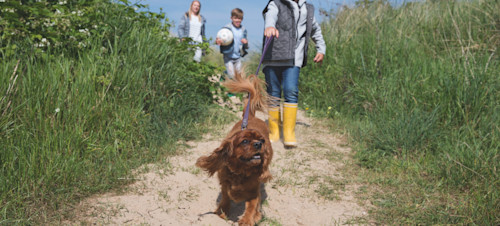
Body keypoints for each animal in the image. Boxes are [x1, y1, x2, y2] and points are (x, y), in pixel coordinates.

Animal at [195, 72, 274, 226]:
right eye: (244, 141)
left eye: (262, 141)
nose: (259, 144)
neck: (241, 172)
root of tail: (251, 116)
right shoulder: (225, 183)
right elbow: (226, 196)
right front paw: (223, 211)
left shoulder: (254, 191)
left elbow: (252, 206)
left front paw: (248, 219)